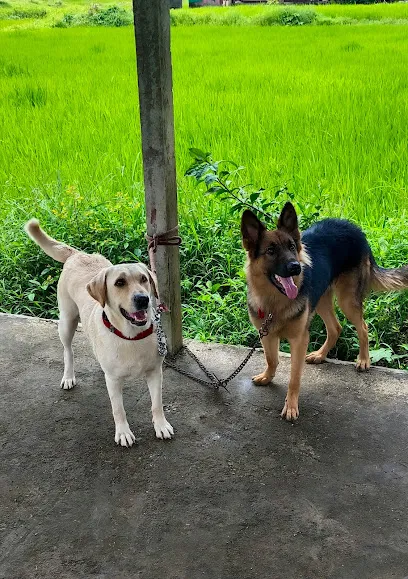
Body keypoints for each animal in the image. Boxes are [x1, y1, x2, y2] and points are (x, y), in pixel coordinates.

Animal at [23, 220, 174, 450]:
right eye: (119, 283)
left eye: (144, 279)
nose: (143, 299)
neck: (131, 336)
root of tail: (77, 254)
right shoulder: (113, 380)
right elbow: (118, 409)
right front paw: (123, 432)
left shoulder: (155, 372)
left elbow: (157, 403)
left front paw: (161, 425)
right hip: (66, 321)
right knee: (68, 350)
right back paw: (68, 376)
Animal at [242, 203, 408, 422]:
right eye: (270, 250)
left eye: (292, 247)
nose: (296, 267)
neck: (274, 302)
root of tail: (354, 228)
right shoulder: (267, 335)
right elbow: (272, 359)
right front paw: (267, 377)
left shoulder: (299, 340)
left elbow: (294, 378)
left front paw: (291, 406)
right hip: (321, 300)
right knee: (335, 328)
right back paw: (320, 355)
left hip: (347, 301)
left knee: (363, 328)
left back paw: (363, 360)